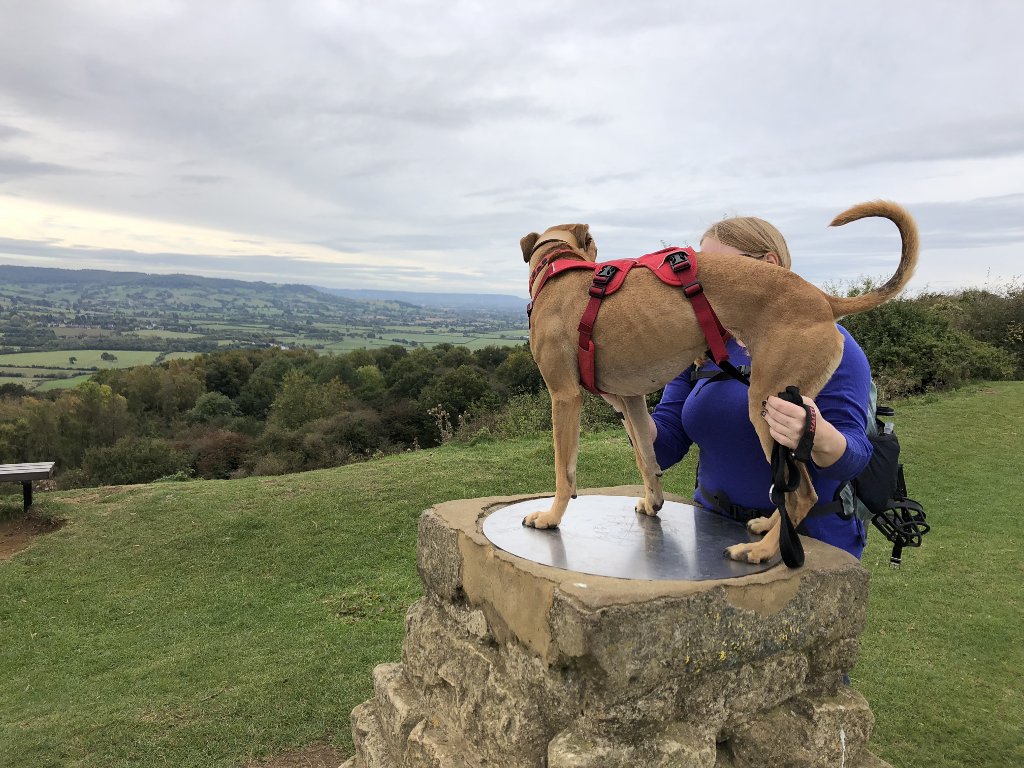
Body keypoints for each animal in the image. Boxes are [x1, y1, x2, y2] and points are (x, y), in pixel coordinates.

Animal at [520, 201, 921, 565]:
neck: (559, 268)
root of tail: (822, 300)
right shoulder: (629, 400)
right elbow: (645, 457)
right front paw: (653, 502)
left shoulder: (565, 396)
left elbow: (564, 471)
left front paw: (551, 516)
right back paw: (768, 527)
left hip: (767, 405)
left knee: (801, 494)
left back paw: (761, 551)